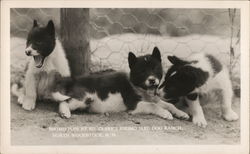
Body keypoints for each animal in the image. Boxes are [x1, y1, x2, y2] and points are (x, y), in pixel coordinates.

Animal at [51, 47, 188, 119]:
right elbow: (153, 106)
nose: (152, 80)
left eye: (155, 68)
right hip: (84, 97)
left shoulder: (154, 99)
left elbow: (168, 104)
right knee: (64, 101)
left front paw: (181, 113)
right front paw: (166, 113)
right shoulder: (134, 105)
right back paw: (64, 112)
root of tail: (73, 80)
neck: (137, 87)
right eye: (142, 71)